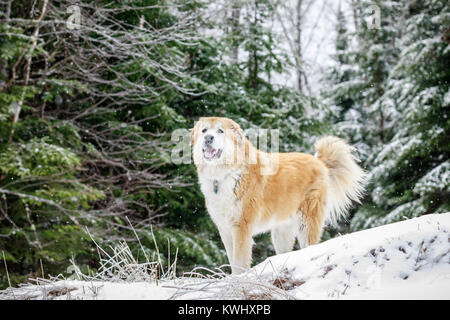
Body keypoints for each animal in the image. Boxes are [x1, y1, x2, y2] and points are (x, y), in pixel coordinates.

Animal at [190, 116, 366, 274]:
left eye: (220, 131)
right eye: (204, 130)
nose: (208, 138)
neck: (223, 176)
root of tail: (319, 161)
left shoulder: (241, 227)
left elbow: (239, 263)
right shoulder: (225, 230)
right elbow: (232, 261)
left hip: (306, 224)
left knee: (309, 247)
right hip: (281, 233)